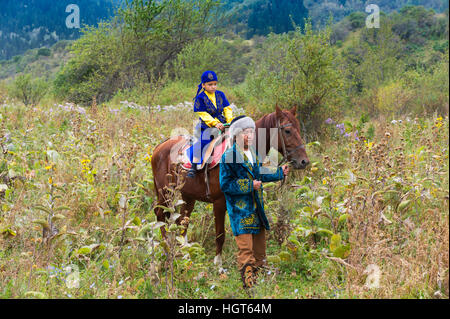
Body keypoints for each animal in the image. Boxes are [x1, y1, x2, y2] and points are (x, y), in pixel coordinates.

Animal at [151, 107, 310, 270]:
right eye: (287, 131)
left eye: (298, 128)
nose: (304, 161)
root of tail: (159, 147)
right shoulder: (219, 203)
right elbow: (220, 234)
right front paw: (218, 264)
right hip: (165, 193)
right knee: (160, 215)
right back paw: (166, 248)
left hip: (188, 196)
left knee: (182, 220)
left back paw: (185, 253)